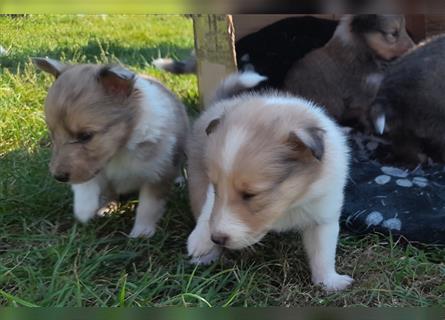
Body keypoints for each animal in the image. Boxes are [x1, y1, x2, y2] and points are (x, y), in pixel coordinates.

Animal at [33, 57, 188, 238]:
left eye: (85, 136)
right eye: (53, 133)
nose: (58, 177)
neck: (121, 150)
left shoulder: (157, 174)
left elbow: (148, 206)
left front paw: (141, 233)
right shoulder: (92, 168)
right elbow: (85, 184)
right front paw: (83, 210)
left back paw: (178, 180)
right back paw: (106, 208)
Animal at [186, 71, 352, 292]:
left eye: (251, 195)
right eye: (216, 187)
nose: (217, 238)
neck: (290, 204)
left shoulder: (323, 214)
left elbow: (323, 253)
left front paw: (330, 282)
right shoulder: (212, 191)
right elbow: (208, 210)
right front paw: (200, 242)